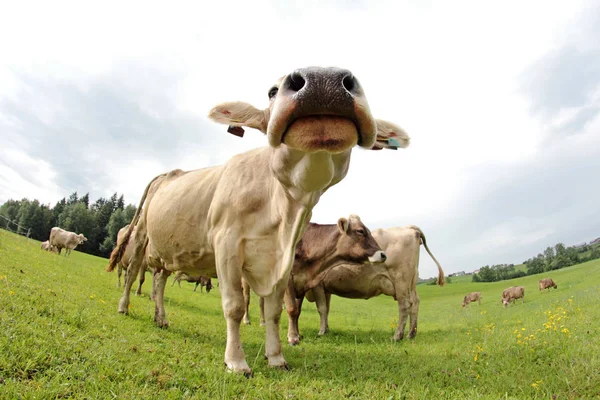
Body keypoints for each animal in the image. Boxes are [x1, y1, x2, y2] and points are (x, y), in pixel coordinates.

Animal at [241, 214, 386, 346]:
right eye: (360, 231)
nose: (383, 254)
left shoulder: (302, 283)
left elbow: (298, 311)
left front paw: (298, 334)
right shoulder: (288, 280)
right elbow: (292, 309)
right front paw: (292, 338)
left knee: (261, 303)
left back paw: (263, 322)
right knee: (247, 300)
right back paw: (247, 320)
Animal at [308, 225, 442, 340]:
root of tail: (408, 228)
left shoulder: (317, 285)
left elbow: (322, 309)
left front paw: (321, 332)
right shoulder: (326, 288)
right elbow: (327, 309)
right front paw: (326, 330)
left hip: (401, 281)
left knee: (404, 305)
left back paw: (397, 336)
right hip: (411, 282)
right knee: (415, 303)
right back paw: (411, 334)